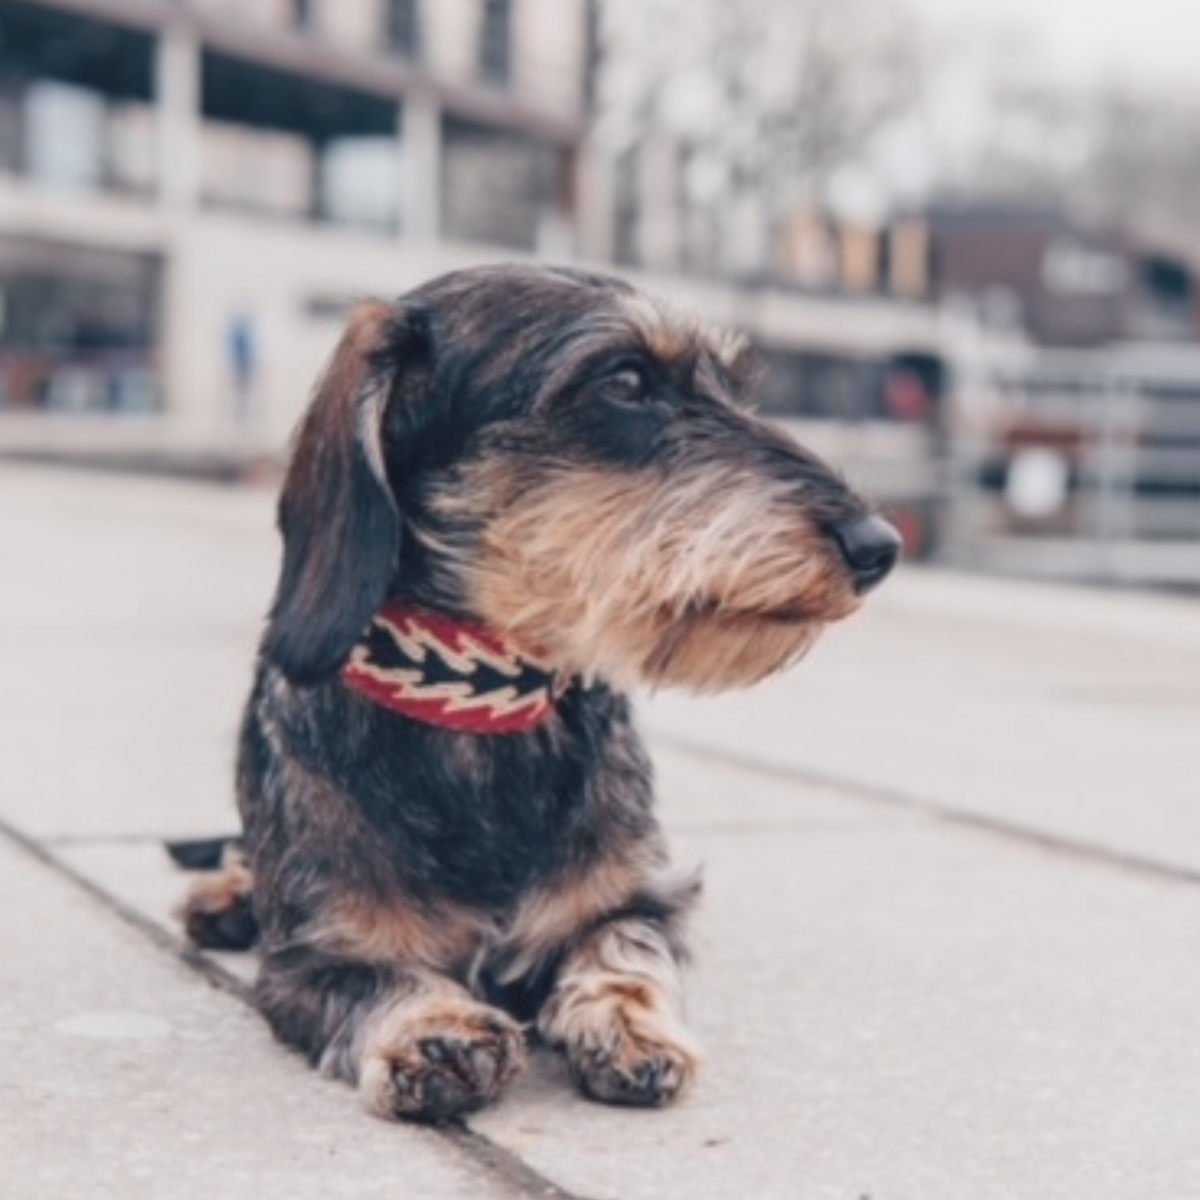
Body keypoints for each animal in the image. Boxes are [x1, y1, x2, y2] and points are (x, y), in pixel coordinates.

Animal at [180, 265, 902, 1123]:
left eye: (732, 385)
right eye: (624, 382)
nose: (880, 546)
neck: (480, 702)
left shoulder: (640, 900)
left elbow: (627, 943)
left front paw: (625, 1020)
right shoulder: (313, 957)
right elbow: (377, 976)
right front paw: (435, 1027)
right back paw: (225, 894)